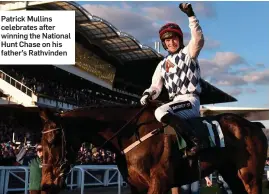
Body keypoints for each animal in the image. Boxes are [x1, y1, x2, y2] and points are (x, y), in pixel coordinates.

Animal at [39, 101, 266, 194]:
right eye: (41, 145)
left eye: (53, 141)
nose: (45, 186)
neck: (131, 134)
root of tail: (254, 125)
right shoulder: (136, 185)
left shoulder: (159, 182)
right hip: (232, 174)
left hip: (251, 176)